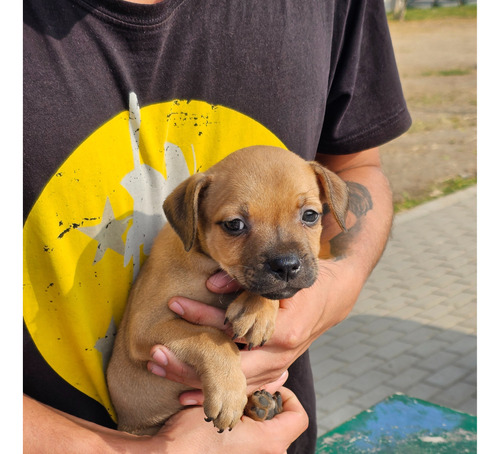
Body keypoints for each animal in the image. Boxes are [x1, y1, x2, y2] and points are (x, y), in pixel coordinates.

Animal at [106, 146, 348, 436]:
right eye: (235, 225)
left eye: (310, 215)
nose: (287, 266)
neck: (209, 263)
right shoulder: (146, 326)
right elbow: (209, 336)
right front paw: (229, 393)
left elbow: (265, 293)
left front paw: (256, 312)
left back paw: (261, 405)